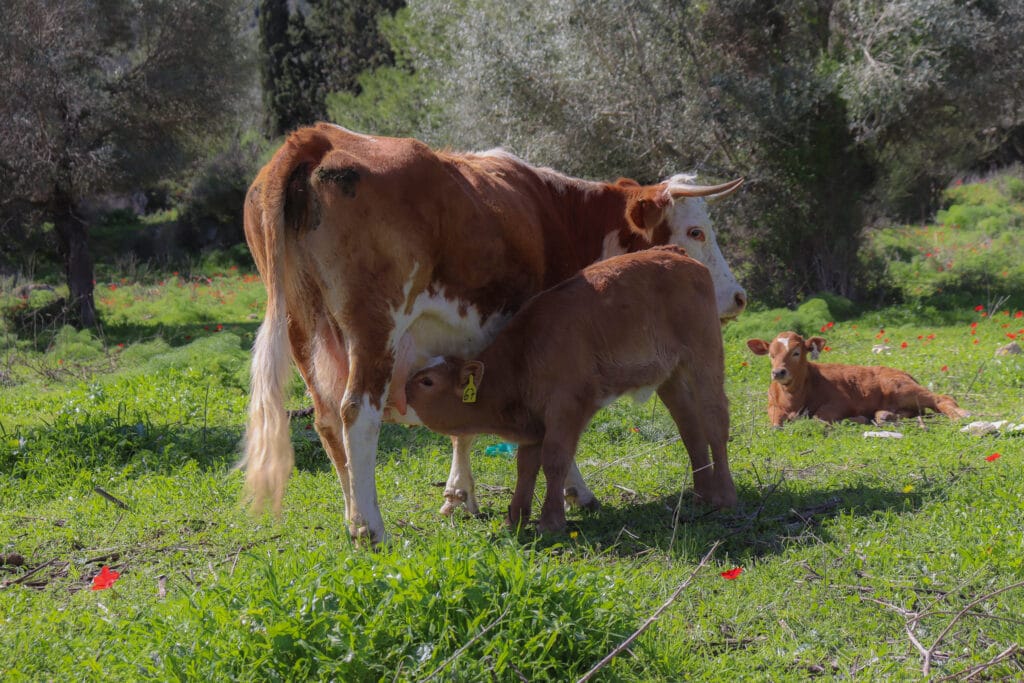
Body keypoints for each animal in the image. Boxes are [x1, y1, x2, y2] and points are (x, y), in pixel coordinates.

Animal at [403, 245, 733, 532]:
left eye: (427, 381)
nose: (403, 387)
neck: (523, 354)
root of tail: (671, 251)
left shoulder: (566, 406)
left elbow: (554, 460)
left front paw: (551, 521)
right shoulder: (534, 421)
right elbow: (526, 466)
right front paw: (515, 518)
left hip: (705, 356)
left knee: (714, 421)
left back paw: (724, 496)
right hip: (671, 376)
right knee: (690, 428)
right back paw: (702, 494)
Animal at [745, 331, 966, 428]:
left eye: (796, 352)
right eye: (771, 354)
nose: (778, 372)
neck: (794, 399)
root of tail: (904, 373)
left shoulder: (841, 402)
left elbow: (819, 418)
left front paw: (856, 418)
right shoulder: (773, 407)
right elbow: (775, 423)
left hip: (901, 388)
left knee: (942, 399)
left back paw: (960, 415)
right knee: (914, 411)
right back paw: (885, 415)